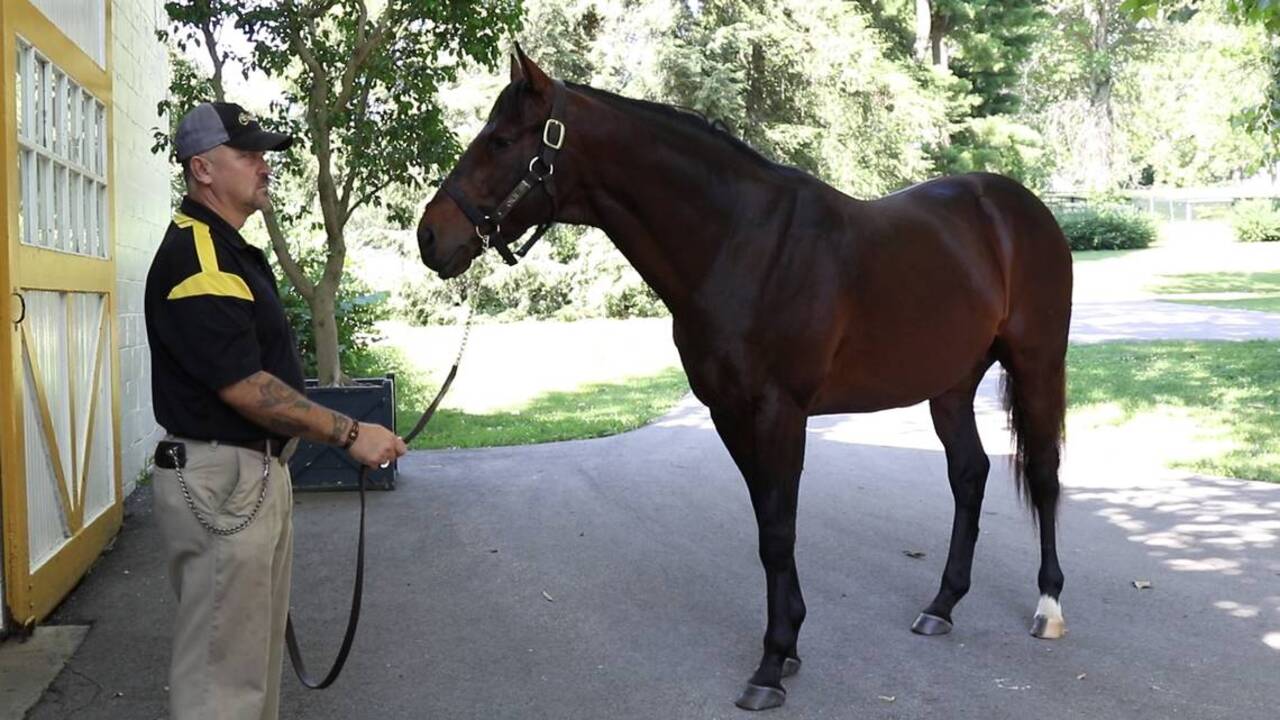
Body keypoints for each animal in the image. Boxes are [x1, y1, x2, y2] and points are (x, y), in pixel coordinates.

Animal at [416, 47, 1072, 711]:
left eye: (500, 141)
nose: (430, 236)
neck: (740, 243)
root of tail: (1020, 205)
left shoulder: (780, 411)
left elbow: (779, 531)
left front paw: (770, 664)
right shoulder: (728, 412)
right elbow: (766, 525)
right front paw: (789, 645)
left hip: (1038, 363)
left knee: (1044, 474)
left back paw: (1048, 606)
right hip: (951, 385)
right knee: (969, 474)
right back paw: (942, 604)